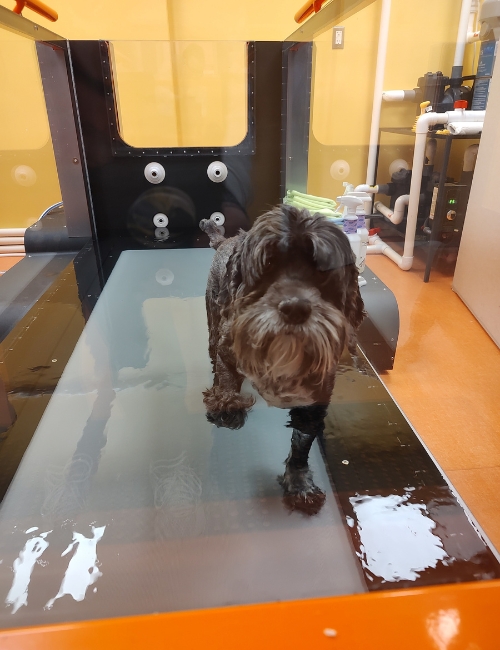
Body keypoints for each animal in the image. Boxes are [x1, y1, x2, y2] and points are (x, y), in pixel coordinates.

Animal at [198, 205, 364, 508]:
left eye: (322, 272)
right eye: (267, 267)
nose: (295, 307)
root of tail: (225, 240)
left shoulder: (315, 396)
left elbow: (301, 443)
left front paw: (300, 485)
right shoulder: (228, 341)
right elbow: (226, 370)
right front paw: (226, 400)